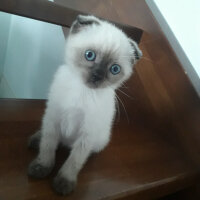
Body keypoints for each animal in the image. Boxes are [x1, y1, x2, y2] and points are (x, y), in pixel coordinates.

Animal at [27, 14, 142, 195]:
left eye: (114, 69)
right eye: (89, 55)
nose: (97, 76)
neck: (83, 92)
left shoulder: (87, 134)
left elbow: (74, 161)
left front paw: (63, 183)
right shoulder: (54, 117)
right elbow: (48, 146)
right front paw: (42, 167)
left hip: (99, 140)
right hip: (49, 120)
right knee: (47, 136)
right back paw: (36, 140)